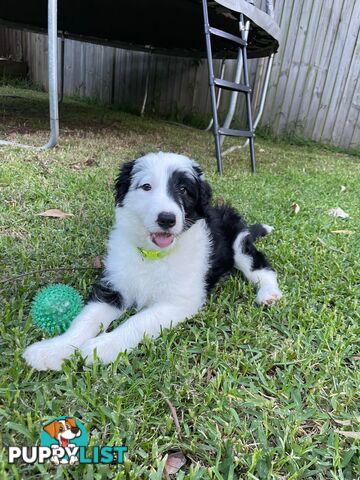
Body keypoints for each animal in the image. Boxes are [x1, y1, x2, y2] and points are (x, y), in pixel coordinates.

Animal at [23, 152, 282, 370]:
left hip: (239, 244)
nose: (166, 219)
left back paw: (268, 294)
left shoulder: (179, 302)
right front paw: (53, 349)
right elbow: (86, 319)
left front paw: (100, 348)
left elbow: (138, 321)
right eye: (146, 186)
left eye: (184, 190)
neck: (152, 256)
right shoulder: (113, 285)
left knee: (261, 267)